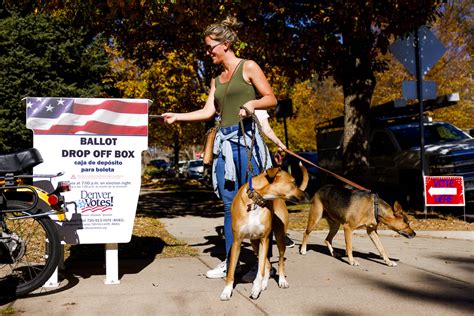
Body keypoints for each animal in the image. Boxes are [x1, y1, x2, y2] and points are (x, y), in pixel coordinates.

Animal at [220, 165, 310, 302]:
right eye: (294, 183)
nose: (307, 194)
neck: (256, 200)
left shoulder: (264, 239)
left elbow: (261, 270)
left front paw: (256, 288)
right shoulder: (237, 241)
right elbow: (231, 271)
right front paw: (227, 291)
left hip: (279, 238)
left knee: (279, 261)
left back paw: (281, 281)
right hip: (254, 243)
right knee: (267, 264)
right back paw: (264, 283)